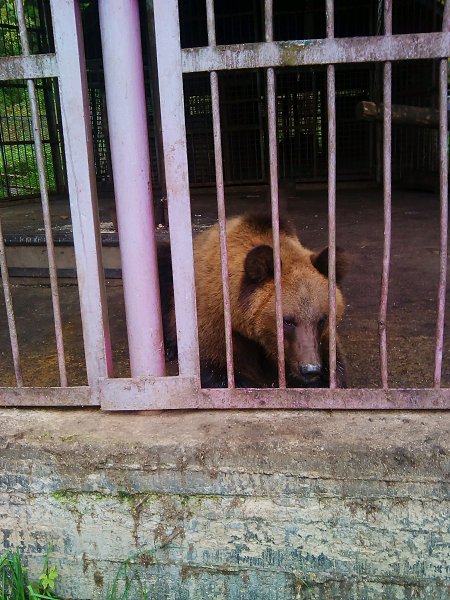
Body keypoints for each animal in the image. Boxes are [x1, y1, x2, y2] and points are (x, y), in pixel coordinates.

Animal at [158, 212, 349, 388]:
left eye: (322, 319)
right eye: (288, 320)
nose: (310, 369)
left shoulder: (321, 340)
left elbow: (335, 367)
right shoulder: (216, 323)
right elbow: (224, 371)